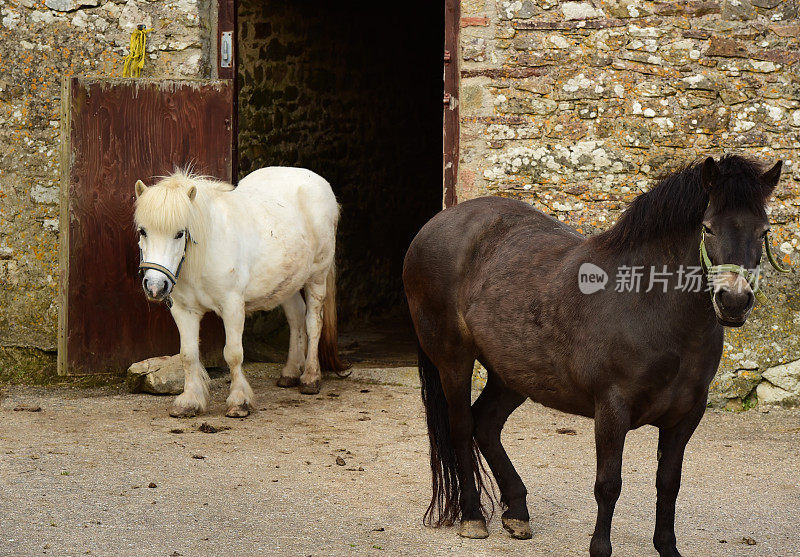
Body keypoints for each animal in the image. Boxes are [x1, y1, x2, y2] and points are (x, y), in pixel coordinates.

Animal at [134, 167, 346, 414]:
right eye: (143, 231)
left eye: (179, 233)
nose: (155, 286)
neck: (206, 251)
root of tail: (319, 181)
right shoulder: (184, 310)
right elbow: (188, 355)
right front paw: (189, 401)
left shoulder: (232, 306)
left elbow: (233, 354)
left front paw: (238, 401)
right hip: (288, 283)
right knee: (296, 319)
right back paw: (291, 372)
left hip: (317, 277)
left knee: (313, 322)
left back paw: (311, 377)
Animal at [404, 155, 784, 556]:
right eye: (708, 228)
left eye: (763, 231)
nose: (734, 302)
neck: (649, 303)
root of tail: (436, 225)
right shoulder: (612, 408)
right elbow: (608, 484)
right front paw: (600, 548)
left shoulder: (686, 415)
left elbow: (669, 484)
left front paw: (667, 547)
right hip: (454, 360)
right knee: (462, 426)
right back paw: (473, 518)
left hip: (513, 374)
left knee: (486, 424)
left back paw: (518, 512)